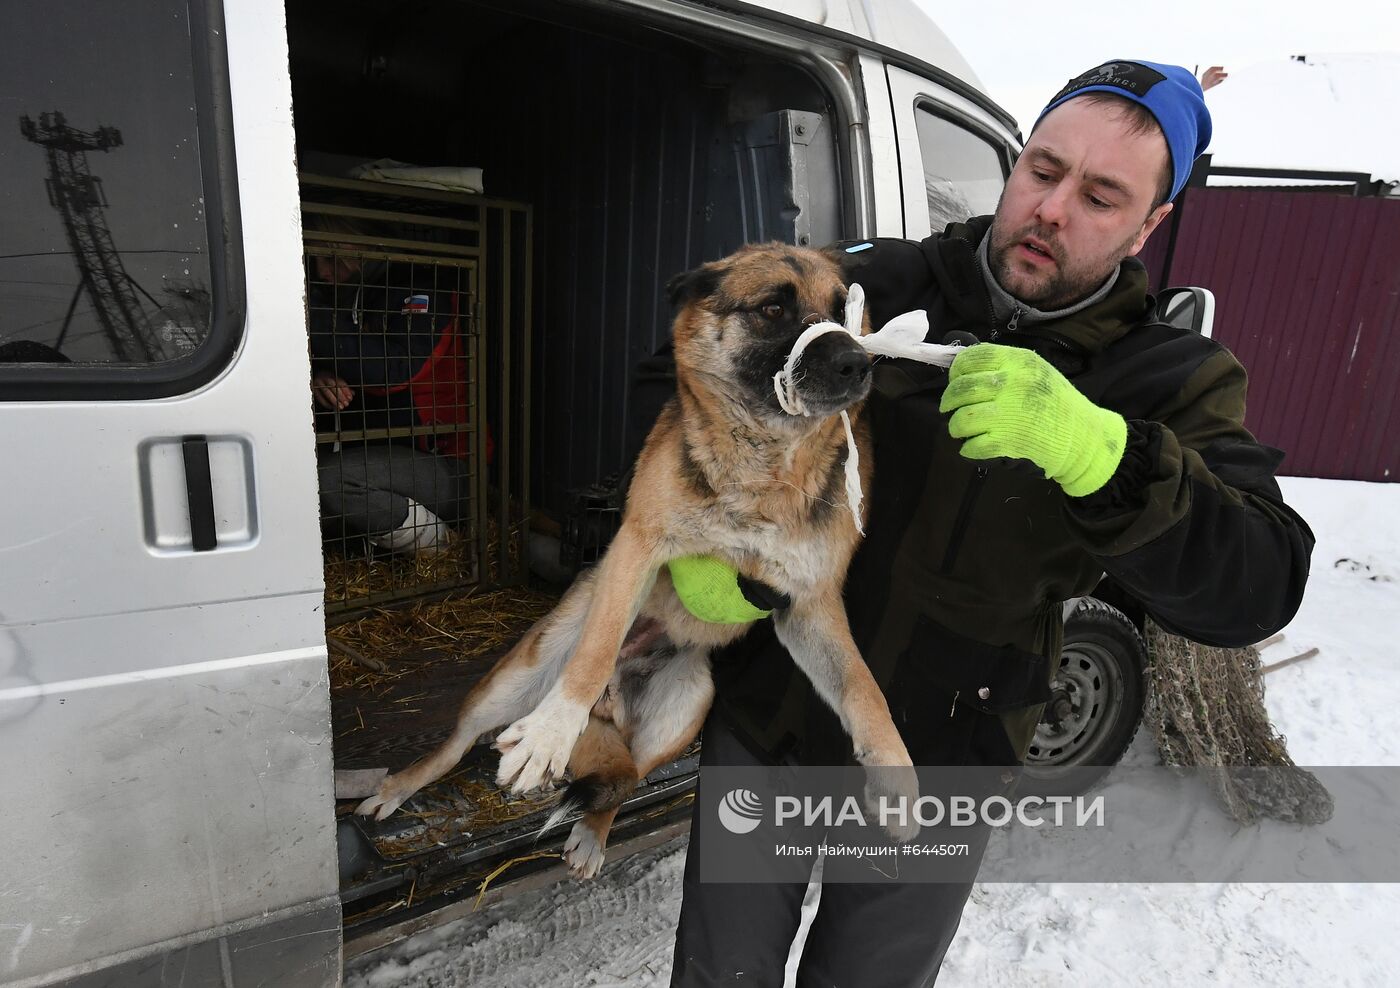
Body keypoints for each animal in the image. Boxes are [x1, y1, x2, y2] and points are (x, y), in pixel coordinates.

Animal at [358, 242, 918, 873]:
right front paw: (550, 733)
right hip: (517, 677)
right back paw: (396, 789)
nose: (857, 364)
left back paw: (591, 835)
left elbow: (863, 688)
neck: (765, 468)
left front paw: (896, 778)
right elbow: (596, 651)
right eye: (773, 309)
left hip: (686, 707)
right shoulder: (637, 548)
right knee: (455, 746)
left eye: (846, 312)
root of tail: (612, 706)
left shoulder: (808, 605)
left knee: (626, 776)